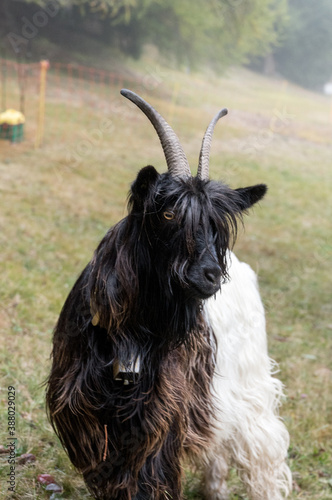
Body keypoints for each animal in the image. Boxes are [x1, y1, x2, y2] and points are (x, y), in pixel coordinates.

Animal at [46, 91, 290, 500]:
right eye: (169, 215)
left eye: (216, 226)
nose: (211, 275)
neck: (131, 336)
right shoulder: (86, 415)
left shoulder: (161, 415)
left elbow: (149, 477)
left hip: (247, 380)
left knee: (262, 449)